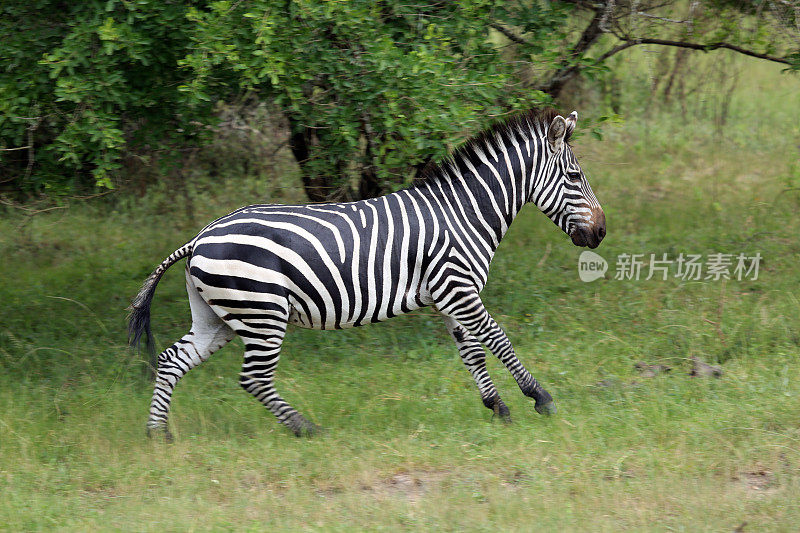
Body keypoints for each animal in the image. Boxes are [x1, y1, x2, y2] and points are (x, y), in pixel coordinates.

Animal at [130, 107, 608, 436]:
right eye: (574, 176)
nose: (602, 232)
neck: (463, 214)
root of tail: (200, 237)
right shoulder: (458, 286)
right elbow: (498, 339)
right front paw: (539, 398)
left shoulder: (449, 297)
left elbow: (472, 352)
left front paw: (498, 409)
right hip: (262, 312)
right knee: (254, 379)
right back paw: (306, 429)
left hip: (220, 317)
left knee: (173, 360)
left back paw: (158, 435)